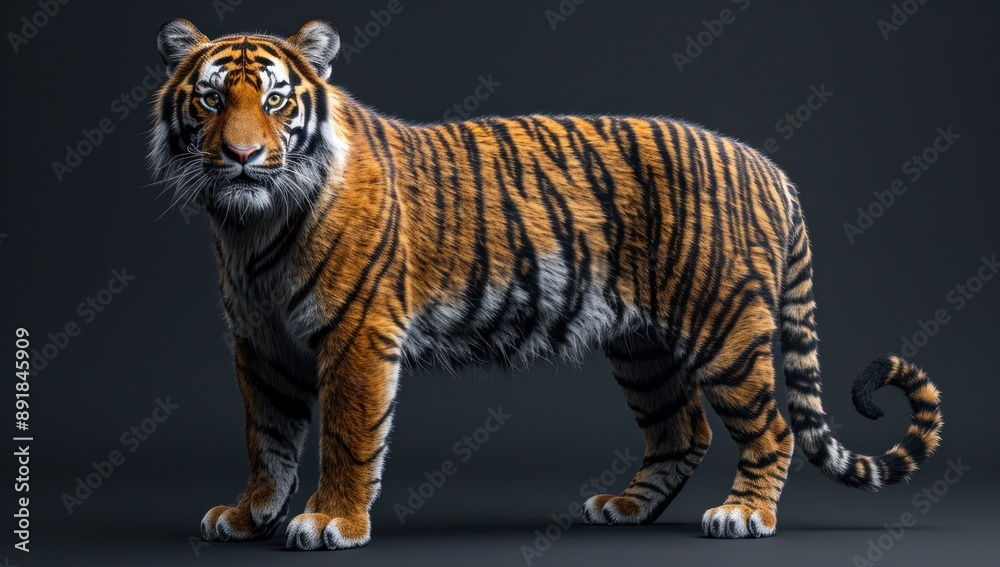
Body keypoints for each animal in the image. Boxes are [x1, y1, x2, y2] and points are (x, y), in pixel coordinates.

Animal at [148, 19, 943, 550]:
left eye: (276, 101)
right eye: (213, 101)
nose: (243, 157)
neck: (250, 229)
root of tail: (769, 166)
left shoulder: (356, 334)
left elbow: (347, 433)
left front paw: (329, 520)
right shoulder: (261, 342)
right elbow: (267, 435)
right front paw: (249, 514)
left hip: (725, 329)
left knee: (769, 426)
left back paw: (745, 515)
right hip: (642, 346)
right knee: (681, 430)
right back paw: (625, 507)